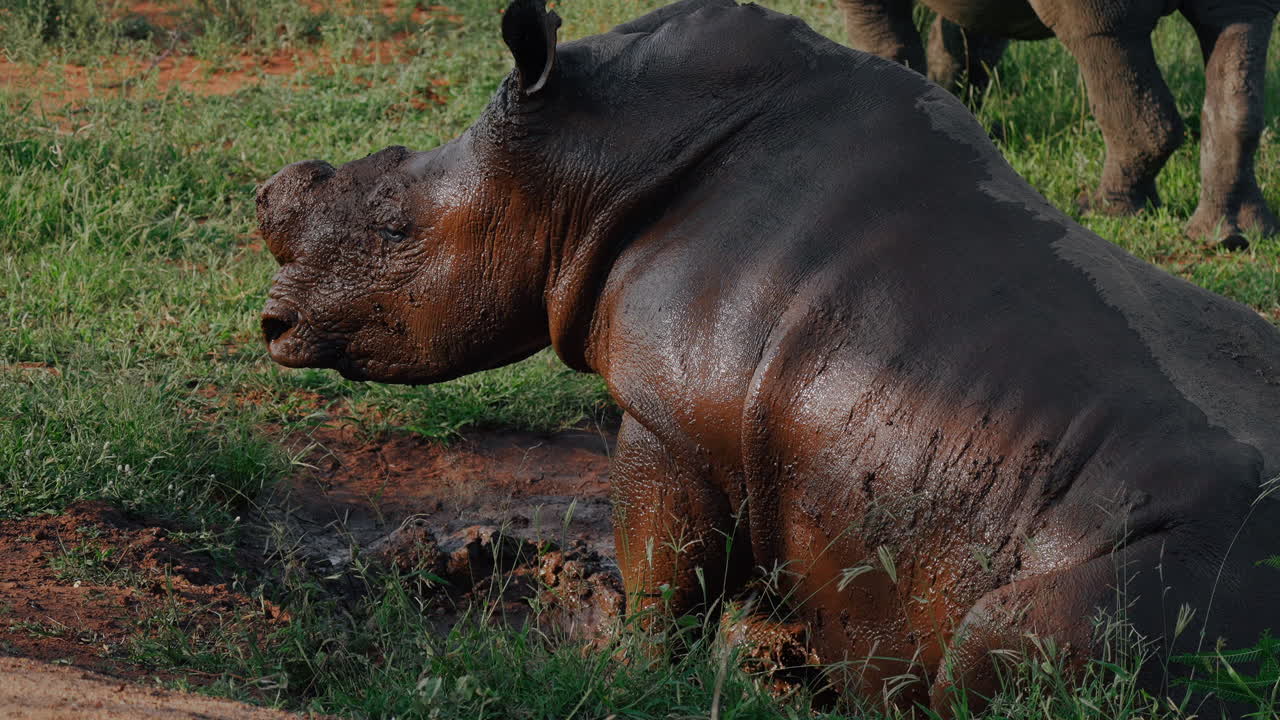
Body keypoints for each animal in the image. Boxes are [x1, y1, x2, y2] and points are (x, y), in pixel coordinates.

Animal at [834, 0, 1280, 247]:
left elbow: (890, 41)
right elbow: (968, 43)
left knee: (1103, 31)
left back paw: (1102, 211)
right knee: (1240, 27)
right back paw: (1233, 236)